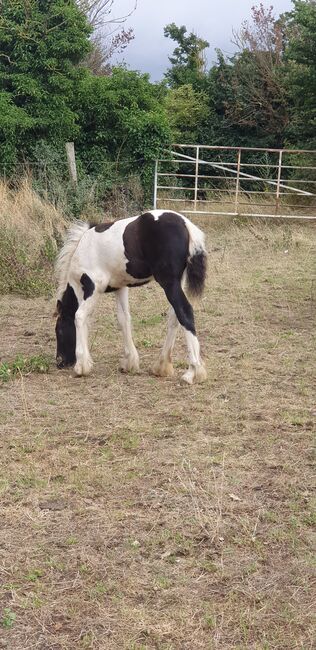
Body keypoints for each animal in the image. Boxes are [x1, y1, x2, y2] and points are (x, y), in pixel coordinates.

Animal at [54, 210, 207, 384]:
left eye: (58, 330)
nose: (60, 362)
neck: (81, 250)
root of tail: (186, 224)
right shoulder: (120, 287)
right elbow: (123, 319)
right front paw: (129, 362)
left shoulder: (93, 287)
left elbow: (79, 316)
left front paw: (81, 366)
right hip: (178, 281)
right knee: (174, 316)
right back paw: (162, 366)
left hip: (169, 282)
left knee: (184, 312)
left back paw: (193, 371)